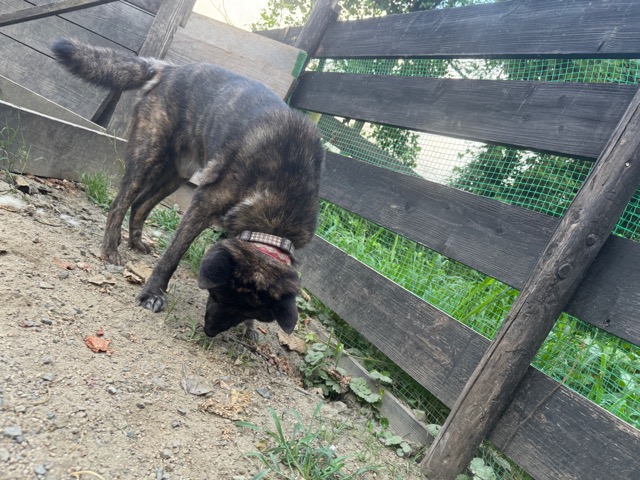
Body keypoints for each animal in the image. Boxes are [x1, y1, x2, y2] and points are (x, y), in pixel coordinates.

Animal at [51, 38, 324, 337]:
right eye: (217, 295)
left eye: (249, 312)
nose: (210, 332)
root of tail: (167, 68)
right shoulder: (204, 203)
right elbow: (173, 255)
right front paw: (152, 293)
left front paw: (250, 330)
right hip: (148, 155)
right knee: (120, 202)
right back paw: (111, 248)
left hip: (177, 174)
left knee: (141, 205)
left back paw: (135, 242)